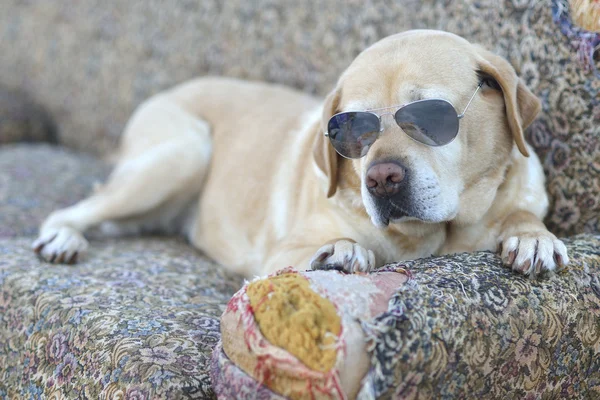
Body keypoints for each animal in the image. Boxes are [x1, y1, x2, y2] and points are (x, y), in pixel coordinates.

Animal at [31, 30, 568, 278]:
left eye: (430, 116)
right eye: (352, 131)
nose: (381, 179)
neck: (437, 236)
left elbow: (522, 213)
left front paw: (531, 237)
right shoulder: (277, 256)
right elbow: (330, 245)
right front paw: (343, 251)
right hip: (183, 152)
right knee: (76, 208)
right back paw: (62, 237)